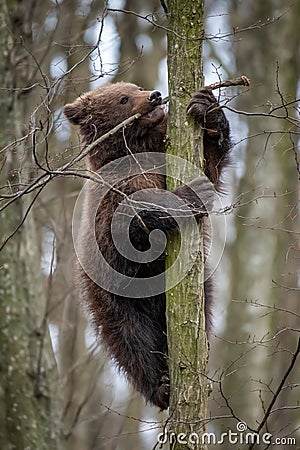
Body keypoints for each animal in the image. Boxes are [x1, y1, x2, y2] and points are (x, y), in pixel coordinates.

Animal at [64, 82, 231, 410]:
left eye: (135, 87)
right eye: (123, 98)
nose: (153, 96)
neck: (138, 148)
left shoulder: (166, 158)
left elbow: (209, 165)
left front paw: (206, 108)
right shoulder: (113, 197)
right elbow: (131, 227)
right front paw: (188, 195)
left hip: (201, 288)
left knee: (202, 317)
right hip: (114, 298)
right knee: (131, 342)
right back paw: (160, 386)